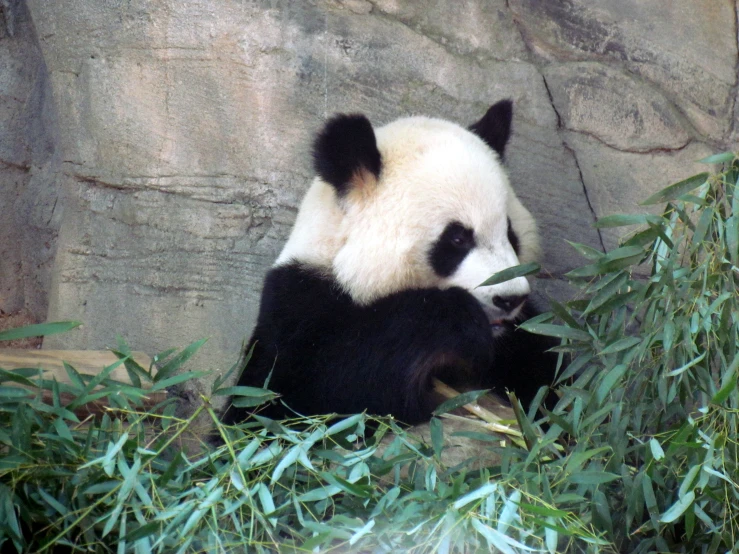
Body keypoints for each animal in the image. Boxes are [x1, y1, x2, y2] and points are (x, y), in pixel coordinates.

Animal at [223, 99, 556, 424]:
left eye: (510, 233)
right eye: (458, 239)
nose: (510, 298)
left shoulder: (524, 335)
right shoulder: (297, 308)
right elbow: (288, 402)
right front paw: (458, 321)